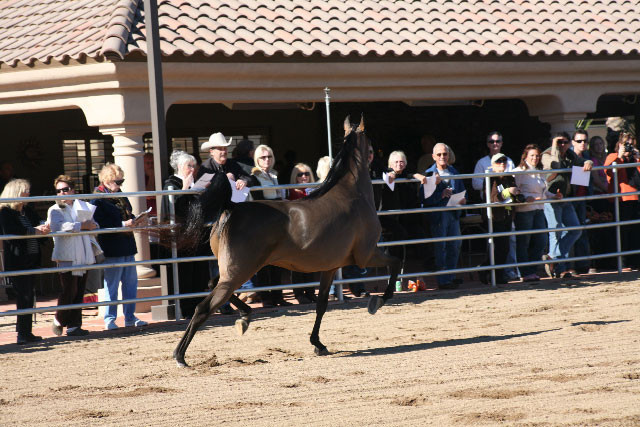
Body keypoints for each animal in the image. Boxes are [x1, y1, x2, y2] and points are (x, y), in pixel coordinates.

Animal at [173, 115, 402, 367]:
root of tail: (231, 207)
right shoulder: (366, 256)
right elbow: (396, 263)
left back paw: (244, 317)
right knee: (203, 307)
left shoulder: (331, 268)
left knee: (212, 284)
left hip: (232, 271)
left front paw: (318, 344)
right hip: (240, 272)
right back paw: (180, 356)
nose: (386, 167)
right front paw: (377, 303)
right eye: (370, 144)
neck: (352, 194)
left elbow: (322, 304)